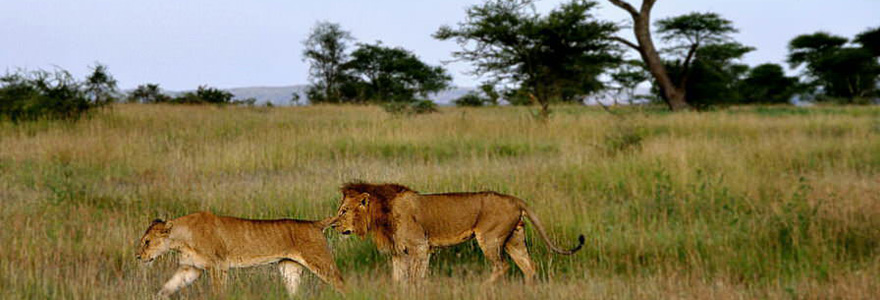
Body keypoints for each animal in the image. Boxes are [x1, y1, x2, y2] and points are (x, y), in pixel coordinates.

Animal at [136, 212, 346, 296]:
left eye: (147, 242)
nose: (138, 257)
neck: (181, 239)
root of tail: (315, 223)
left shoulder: (218, 266)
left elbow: (218, 292)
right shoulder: (190, 268)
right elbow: (168, 286)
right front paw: (156, 297)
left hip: (320, 262)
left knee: (343, 284)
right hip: (289, 268)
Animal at [330, 183, 584, 284]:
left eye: (343, 211)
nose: (332, 226)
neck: (381, 212)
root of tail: (514, 199)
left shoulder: (420, 247)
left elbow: (416, 277)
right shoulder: (399, 253)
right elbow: (399, 278)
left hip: (490, 238)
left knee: (501, 266)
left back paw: (483, 288)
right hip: (515, 239)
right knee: (529, 266)